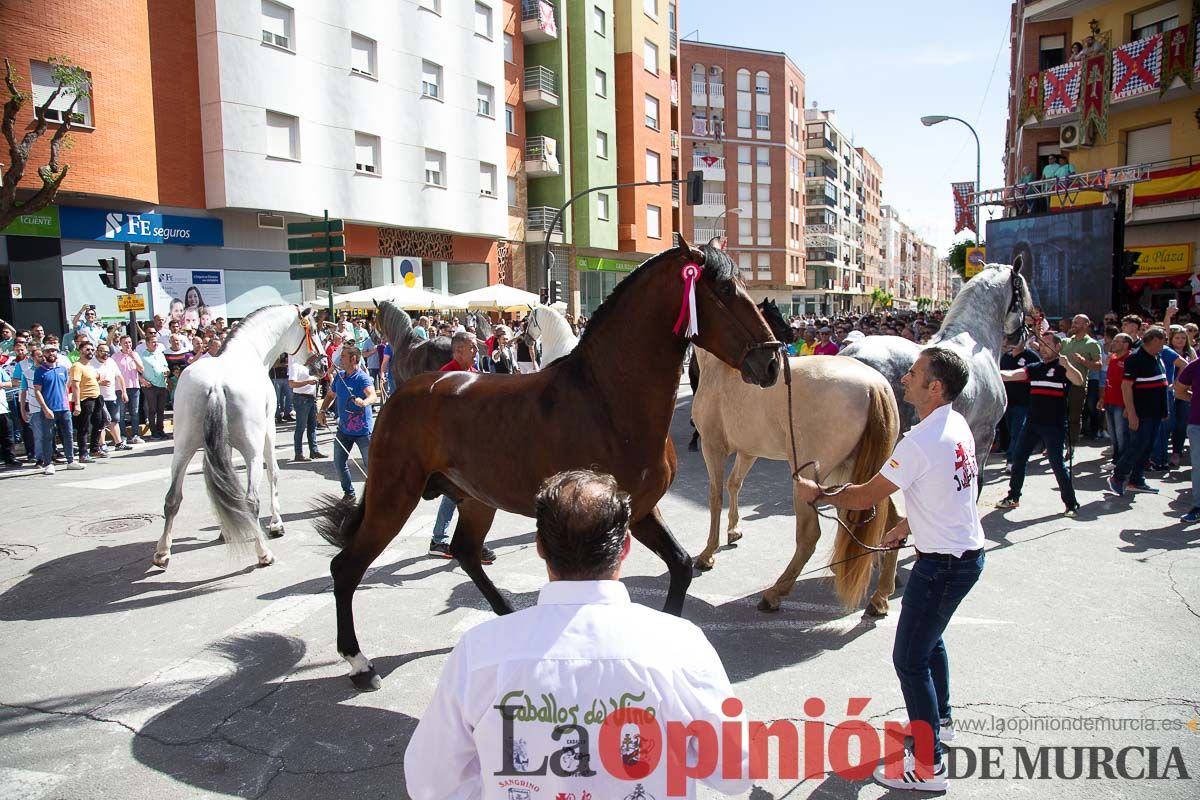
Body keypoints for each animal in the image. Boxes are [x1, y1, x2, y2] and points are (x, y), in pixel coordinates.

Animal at [152, 302, 326, 568]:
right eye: (314, 330)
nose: (324, 365)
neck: (249, 351)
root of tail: (215, 385)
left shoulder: (222, 446)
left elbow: (225, 483)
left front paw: (225, 531)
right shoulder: (268, 431)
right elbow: (274, 472)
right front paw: (276, 524)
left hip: (183, 448)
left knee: (172, 498)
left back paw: (163, 552)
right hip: (251, 450)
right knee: (251, 499)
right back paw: (263, 552)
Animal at [319, 237, 782, 690]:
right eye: (725, 290)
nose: (772, 362)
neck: (607, 400)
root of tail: (400, 393)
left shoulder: (641, 510)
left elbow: (682, 565)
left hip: (475, 499)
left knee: (465, 552)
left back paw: (506, 616)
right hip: (394, 496)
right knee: (346, 567)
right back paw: (359, 664)